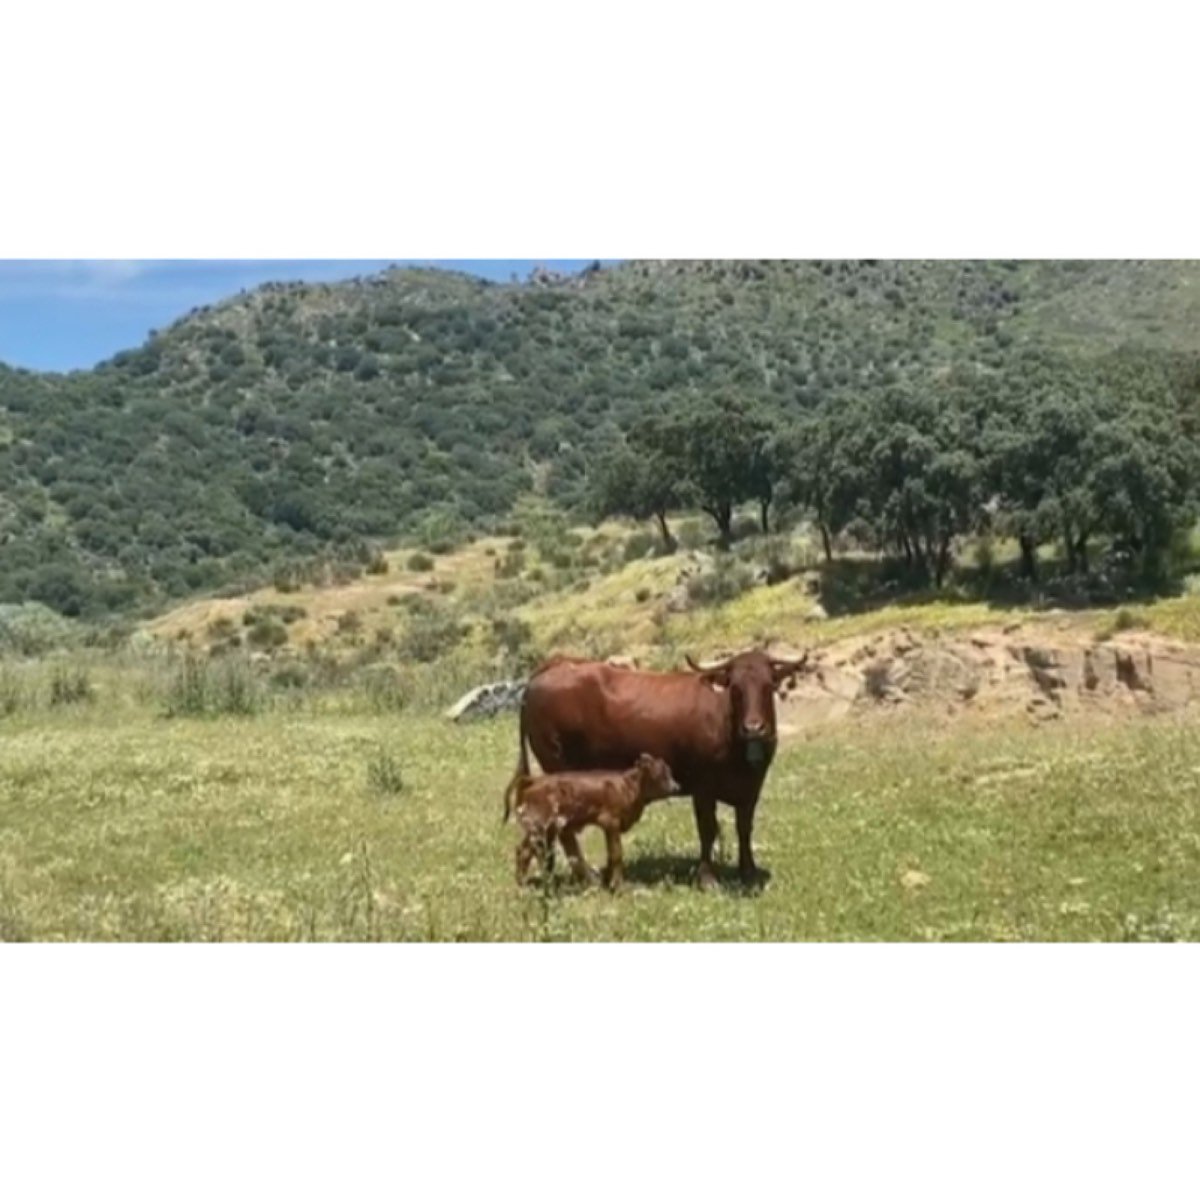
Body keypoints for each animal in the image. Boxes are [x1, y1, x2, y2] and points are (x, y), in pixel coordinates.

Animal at [503, 753, 681, 890]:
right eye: (660, 774)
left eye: (670, 772)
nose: (676, 787)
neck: (628, 787)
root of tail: (533, 780)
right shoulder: (611, 822)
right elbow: (617, 854)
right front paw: (618, 886)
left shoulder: (609, 828)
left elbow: (610, 854)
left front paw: (608, 881)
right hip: (539, 827)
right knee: (525, 851)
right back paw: (522, 883)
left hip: (546, 830)